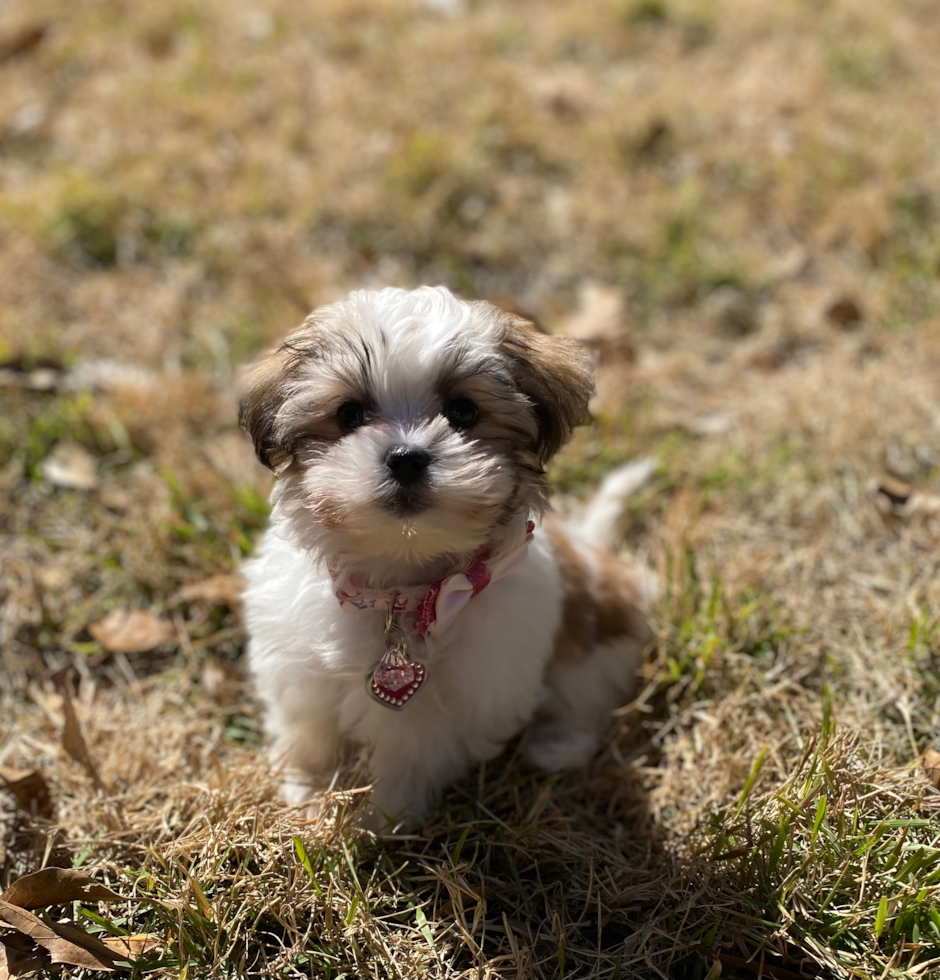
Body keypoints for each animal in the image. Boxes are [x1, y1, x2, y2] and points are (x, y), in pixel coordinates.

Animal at [239, 286, 656, 828]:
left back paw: (556, 746)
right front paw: (306, 793)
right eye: (349, 414)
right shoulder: (299, 668)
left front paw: (386, 820)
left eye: (463, 411)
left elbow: (413, 752)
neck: (404, 592)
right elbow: (309, 729)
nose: (406, 457)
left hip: (597, 649)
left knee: (587, 703)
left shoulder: (460, 699)